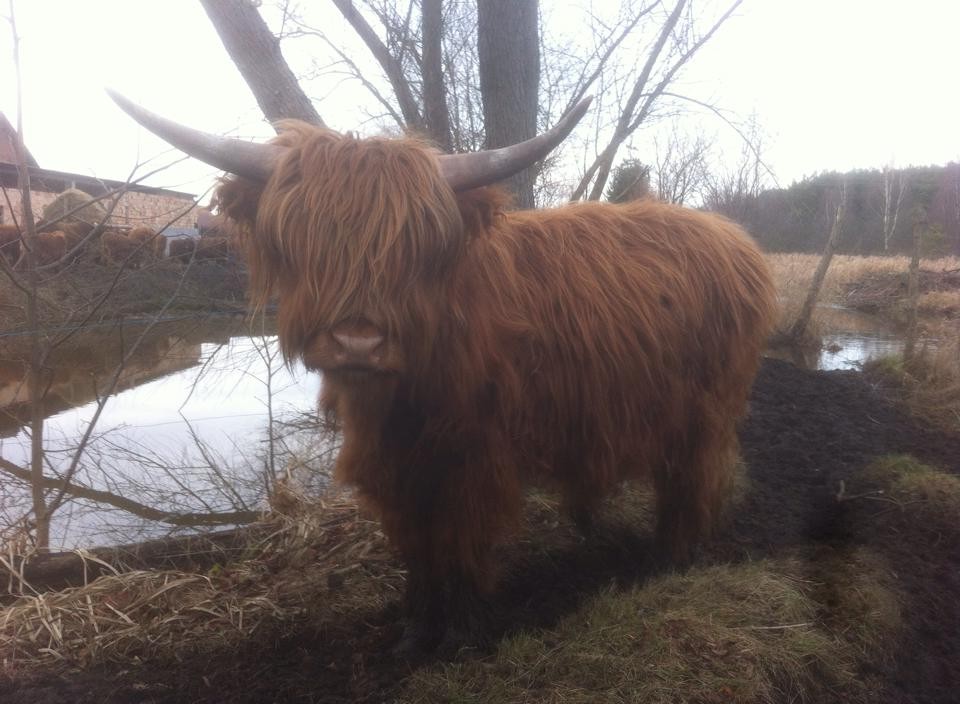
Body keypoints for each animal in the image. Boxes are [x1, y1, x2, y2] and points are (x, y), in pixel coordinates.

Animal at [110, 92, 777, 654]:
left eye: (415, 247)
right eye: (303, 239)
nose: (358, 341)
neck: (401, 401)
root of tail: (732, 237)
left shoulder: (472, 457)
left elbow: (457, 539)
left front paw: (457, 633)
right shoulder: (396, 464)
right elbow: (416, 542)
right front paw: (414, 626)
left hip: (705, 412)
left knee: (693, 479)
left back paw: (674, 557)